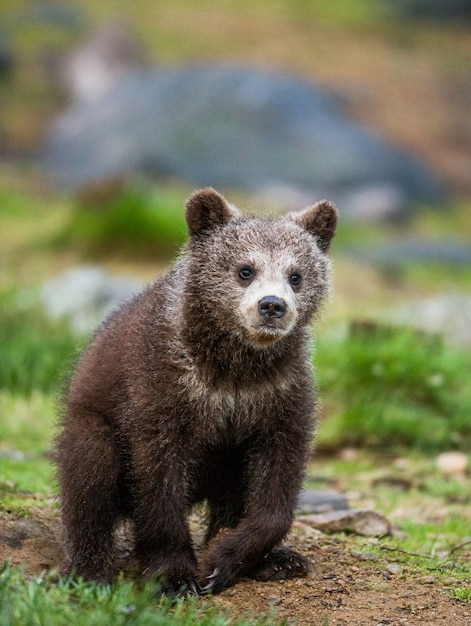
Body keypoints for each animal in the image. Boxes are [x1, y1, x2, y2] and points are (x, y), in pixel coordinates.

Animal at [57, 189, 338, 596]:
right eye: (245, 269)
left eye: (296, 275)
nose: (272, 305)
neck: (232, 368)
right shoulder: (163, 388)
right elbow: (158, 481)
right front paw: (174, 574)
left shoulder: (277, 396)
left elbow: (277, 483)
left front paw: (224, 558)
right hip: (91, 419)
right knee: (89, 473)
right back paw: (89, 570)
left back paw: (276, 560)